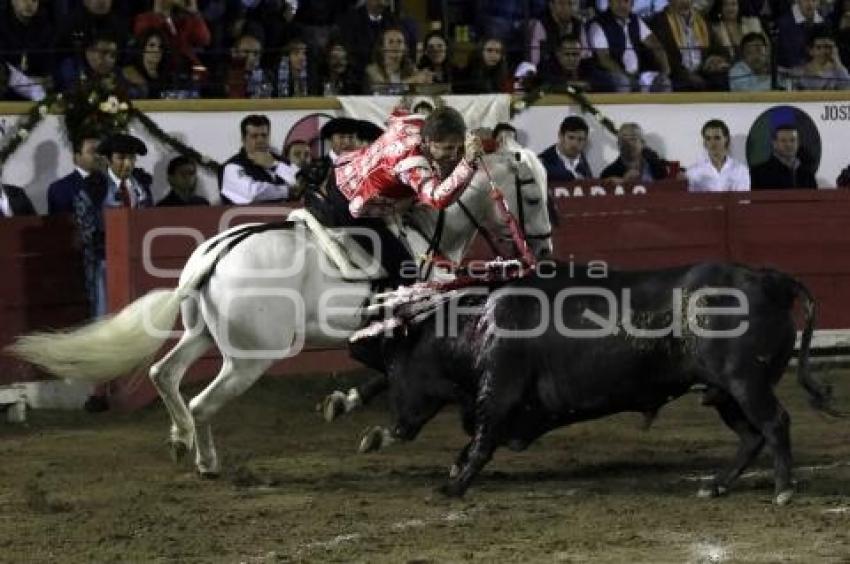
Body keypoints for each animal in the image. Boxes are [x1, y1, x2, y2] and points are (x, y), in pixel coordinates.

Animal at [9, 141, 552, 476]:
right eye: (531, 193)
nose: (544, 249)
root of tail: (212, 258)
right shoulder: (411, 328)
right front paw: (364, 419)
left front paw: (341, 404)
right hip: (248, 359)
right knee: (203, 401)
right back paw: (207, 462)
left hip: (202, 336)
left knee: (165, 374)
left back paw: (181, 441)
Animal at [348, 262, 840, 504]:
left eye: (392, 369)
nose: (395, 426)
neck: (474, 327)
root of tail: (769, 280)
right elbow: (475, 443)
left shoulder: (498, 391)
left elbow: (482, 442)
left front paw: (453, 487)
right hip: (723, 392)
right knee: (751, 436)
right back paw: (715, 484)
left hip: (744, 382)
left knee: (774, 424)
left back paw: (782, 490)